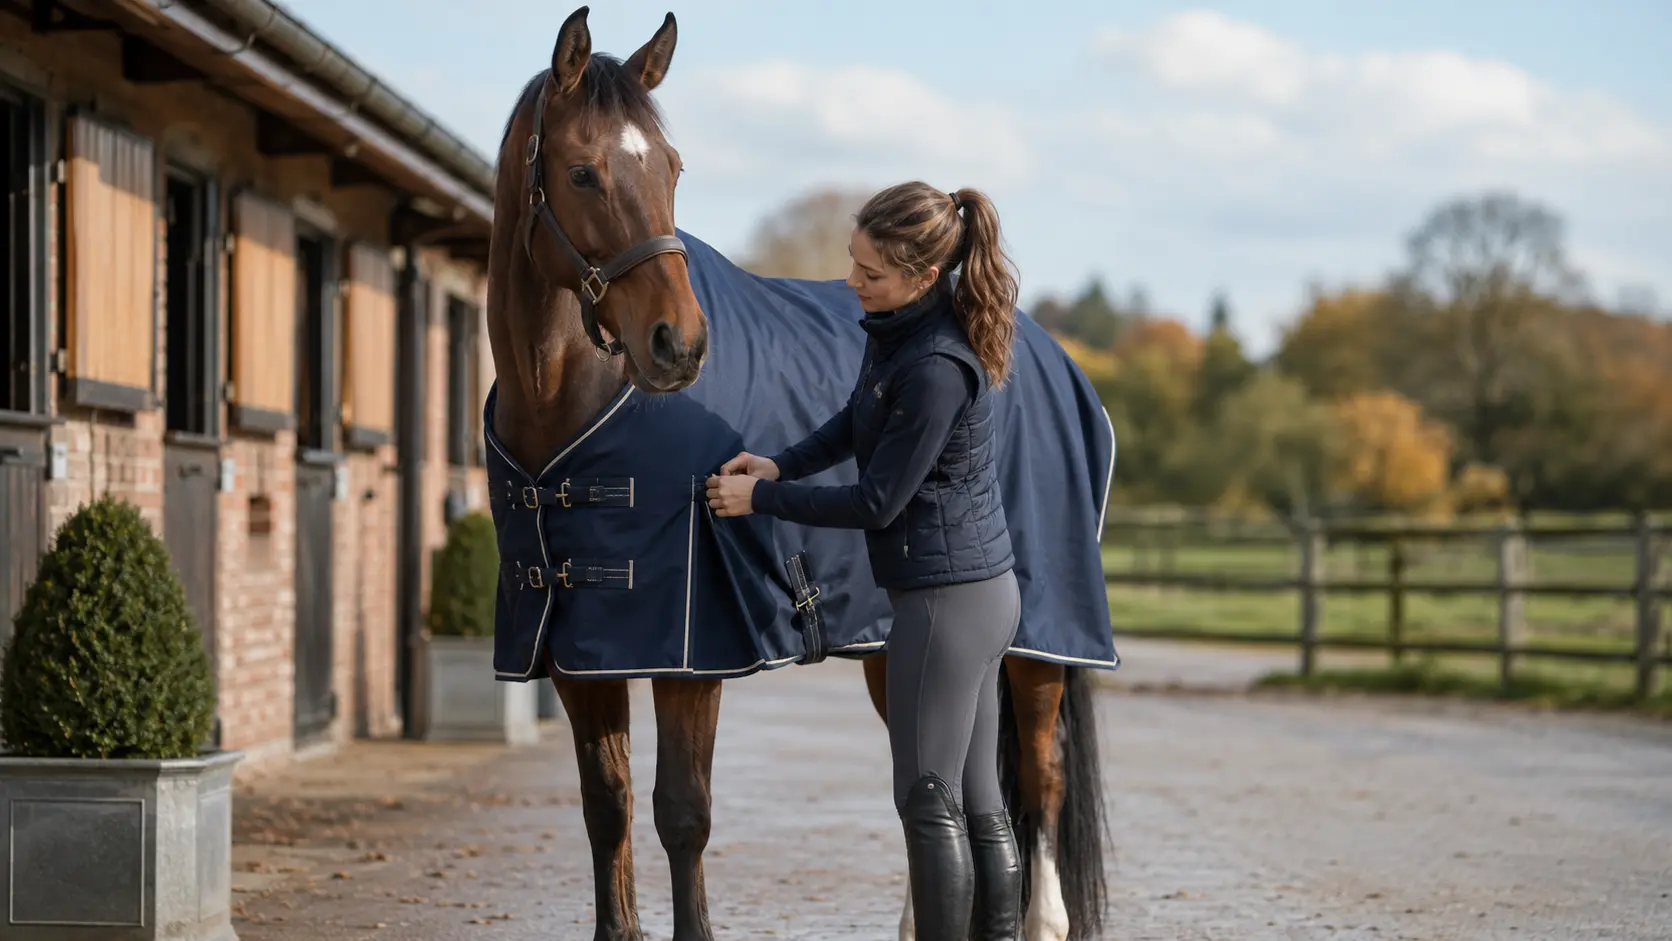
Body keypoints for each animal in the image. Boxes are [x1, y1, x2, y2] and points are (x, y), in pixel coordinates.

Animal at [483, 8, 1115, 940]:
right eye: (582, 170)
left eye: (671, 166)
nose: (678, 345)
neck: (572, 403)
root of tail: (1038, 346)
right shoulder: (576, 650)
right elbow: (609, 804)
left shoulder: (692, 652)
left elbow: (683, 812)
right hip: (897, 640)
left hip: (1035, 646)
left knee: (1038, 777)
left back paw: (1041, 918)